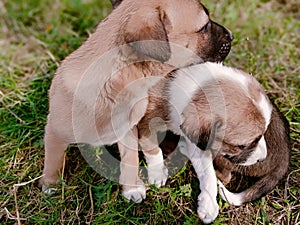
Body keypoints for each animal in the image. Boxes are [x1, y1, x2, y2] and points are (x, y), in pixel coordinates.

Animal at [39, 0, 232, 202]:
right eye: (204, 27)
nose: (232, 35)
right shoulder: (55, 131)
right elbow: (53, 159)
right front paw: (50, 184)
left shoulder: (127, 129)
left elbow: (130, 158)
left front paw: (131, 188)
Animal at [137, 62, 274, 223]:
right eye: (241, 146)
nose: (263, 158)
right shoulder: (146, 124)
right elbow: (152, 149)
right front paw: (157, 173)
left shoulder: (200, 142)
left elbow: (208, 173)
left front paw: (208, 204)